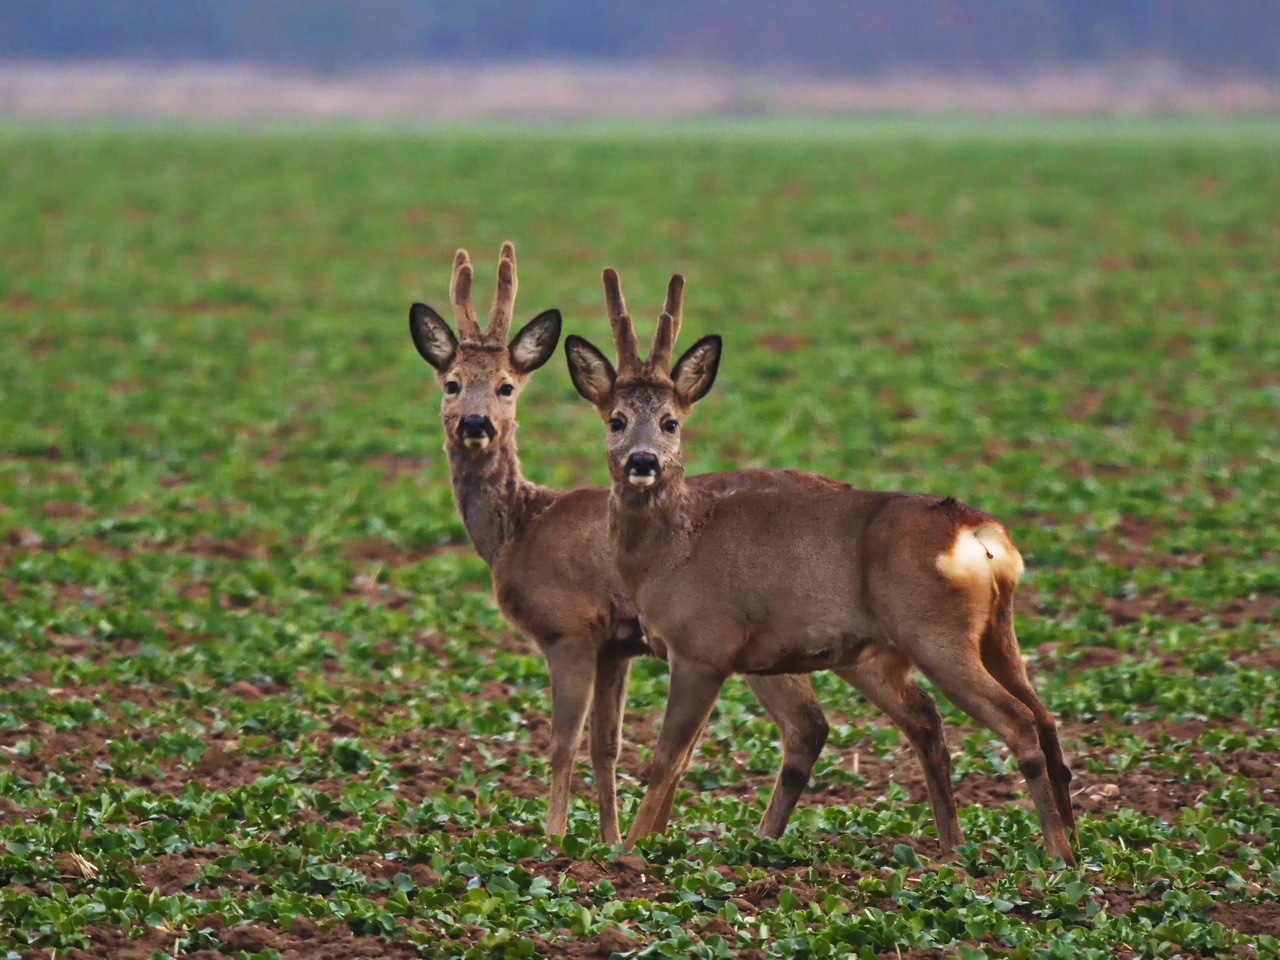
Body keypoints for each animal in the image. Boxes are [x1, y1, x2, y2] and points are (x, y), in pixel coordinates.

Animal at [407, 244, 829, 844]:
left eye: (507, 385)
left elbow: (562, 743)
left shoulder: (568, 627)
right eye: (451, 382)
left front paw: (553, 838)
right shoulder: (615, 646)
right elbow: (606, 746)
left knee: (805, 725)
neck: (520, 525)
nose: (475, 424)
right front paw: (606, 841)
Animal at [565, 268, 1075, 865]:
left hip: (935, 634)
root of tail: (978, 533)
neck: (669, 553)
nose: (642, 461)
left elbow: (668, 755)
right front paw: (655, 844)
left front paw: (633, 851)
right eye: (616, 420)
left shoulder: (703, 646)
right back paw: (1015, 846)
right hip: (982, 634)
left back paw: (1054, 855)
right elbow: (683, 758)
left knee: (1015, 721)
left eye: (670, 423)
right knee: (1026, 716)